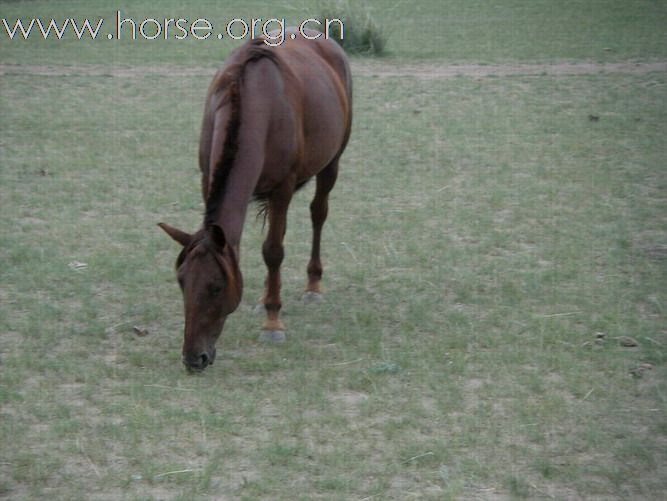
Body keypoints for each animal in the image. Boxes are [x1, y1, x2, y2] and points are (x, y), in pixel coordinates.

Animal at [159, 29, 354, 370]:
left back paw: (313, 285)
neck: (254, 101)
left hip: (331, 162)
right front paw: (267, 303)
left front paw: (273, 323)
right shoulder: (207, 178)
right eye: (182, 282)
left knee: (318, 213)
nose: (194, 358)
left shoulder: (283, 187)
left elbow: (273, 251)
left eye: (216, 287)